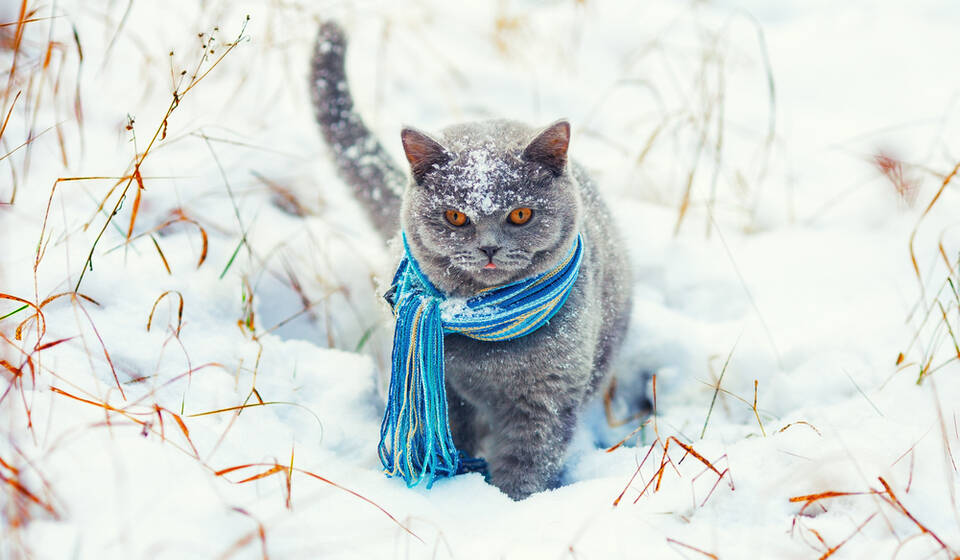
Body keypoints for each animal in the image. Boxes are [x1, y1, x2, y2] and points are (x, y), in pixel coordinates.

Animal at [312, 21, 632, 498]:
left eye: (520, 214)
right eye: (456, 216)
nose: (489, 247)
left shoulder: (547, 396)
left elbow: (528, 458)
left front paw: (515, 501)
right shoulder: (444, 391)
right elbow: (448, 439)